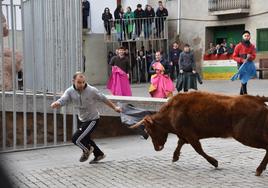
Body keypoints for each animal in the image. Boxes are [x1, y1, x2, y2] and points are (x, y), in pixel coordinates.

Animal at [131, 91, 268, 176]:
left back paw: (259, 169)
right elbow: (180, 143)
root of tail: (257, 98)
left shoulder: (190, 134)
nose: (157, 148)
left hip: (245, 135)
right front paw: (175, 157)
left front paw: (214, 162)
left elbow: (198, 149)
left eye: (150, 130)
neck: (171, 112)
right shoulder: (185, 134)